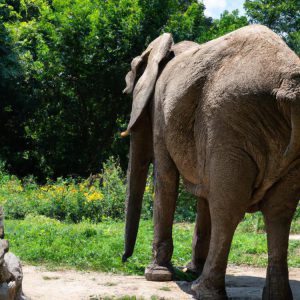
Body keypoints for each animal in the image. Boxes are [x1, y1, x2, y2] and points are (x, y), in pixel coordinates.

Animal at [121, 25, 300, 300]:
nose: (124, 259)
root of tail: (289, 88)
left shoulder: (162, 114)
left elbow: (166, 178)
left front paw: (157, 275)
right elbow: (204, 190)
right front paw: (189, 269)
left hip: (230, 119)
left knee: (227, 208)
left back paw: (201, 290)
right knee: (280, 212)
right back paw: (275, 296)